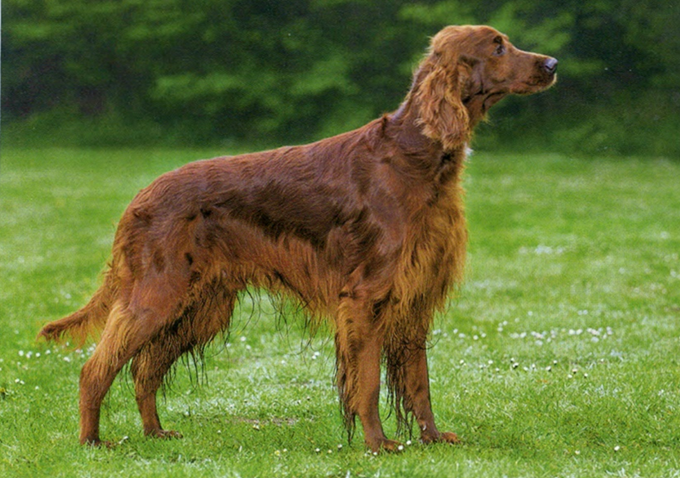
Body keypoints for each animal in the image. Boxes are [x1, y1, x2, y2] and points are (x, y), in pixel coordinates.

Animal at [38, 26, 556, 452]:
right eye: (497, 47)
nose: (552, 64)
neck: (415, 155)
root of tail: (139, 197)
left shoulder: (414, 297)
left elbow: (418, 381)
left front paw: (430, 437)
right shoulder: (364, 297)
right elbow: (367, 381)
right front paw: (377, 443)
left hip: (199, 306)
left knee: (144, 371)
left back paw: (155, 432)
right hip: (158, 295)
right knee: (96, 368)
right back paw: (92, 441)